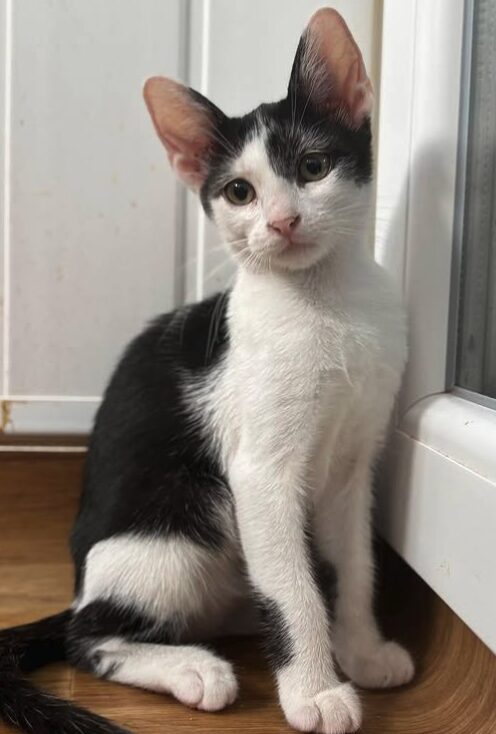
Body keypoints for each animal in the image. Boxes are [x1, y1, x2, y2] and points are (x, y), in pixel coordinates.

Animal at [0, 7, 414, 734]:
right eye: (239, 192)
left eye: (313, 167)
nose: (282, 221)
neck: (328, 304)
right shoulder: (258, 474)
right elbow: (294, 591)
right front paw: (313, 691)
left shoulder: (352, 466)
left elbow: (357, 566)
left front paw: (361, 649)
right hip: (176, 528)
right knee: (88, 636)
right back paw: (194, 668)